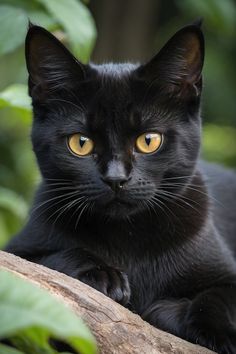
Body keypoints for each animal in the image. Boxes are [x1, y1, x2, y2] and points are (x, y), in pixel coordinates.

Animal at [5, 23, 236, 352]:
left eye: (149, 140)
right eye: (81, 143)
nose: (116, 178)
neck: (127, 237)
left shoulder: (225, 273)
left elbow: (218, 297)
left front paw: (216, 332)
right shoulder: (19, 250)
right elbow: (48, 262)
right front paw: (103, 276)